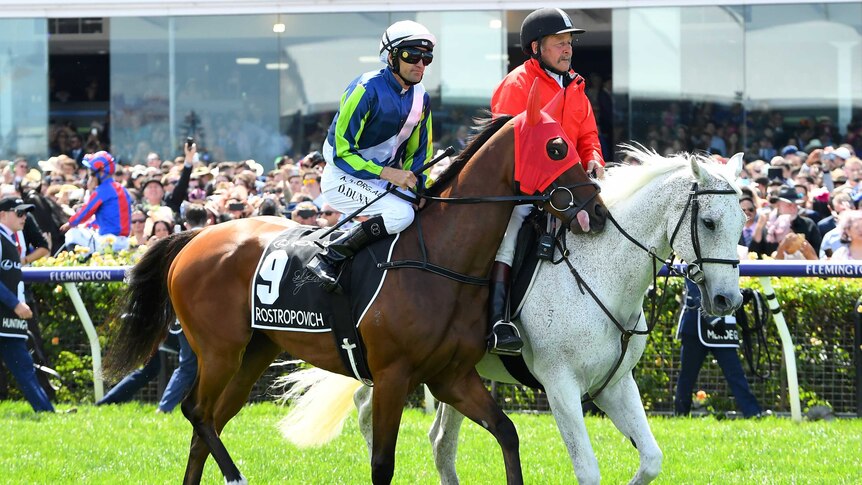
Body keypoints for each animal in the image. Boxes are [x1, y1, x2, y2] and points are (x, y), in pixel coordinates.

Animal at [104, 84, 608, 484]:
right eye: (557, 148)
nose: (597, 212)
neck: (439, 260)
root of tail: (194, 237)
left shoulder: (451, 376)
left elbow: (507, 433)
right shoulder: (391, 375)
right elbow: (382, 464)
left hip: (255, 350)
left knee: (208, 421)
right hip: (218, 349)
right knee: (196, 412)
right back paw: (236, 475)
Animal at [278, 148, 748, 484]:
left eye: (743, 220)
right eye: (708, 222)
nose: (727, 299)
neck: (602, 272)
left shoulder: (615, 384)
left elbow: (650, 459)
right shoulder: (560, 385)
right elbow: (588, 469)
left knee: (439, 442)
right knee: (373, 411)